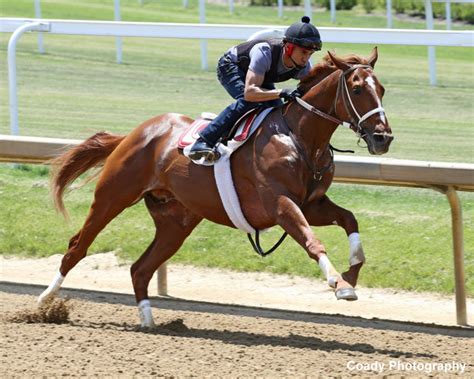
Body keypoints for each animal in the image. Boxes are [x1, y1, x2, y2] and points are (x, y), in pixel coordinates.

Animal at [38, 47, 392, 326]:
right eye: (357, 89)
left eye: (382, 89)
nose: (383, 138)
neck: (299, 136)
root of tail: (135, 133)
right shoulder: (280, 204)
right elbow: (312, 240)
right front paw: (337, 282)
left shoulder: (311, 204)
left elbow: (349, 220)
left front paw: (351, 275)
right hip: (113, 196)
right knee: (77, 247)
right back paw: (45, 302)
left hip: (176, 221)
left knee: (140, 269)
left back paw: (148, 319)